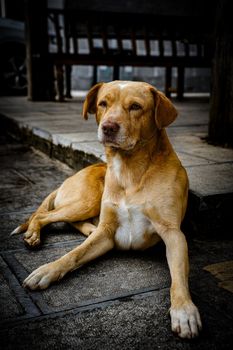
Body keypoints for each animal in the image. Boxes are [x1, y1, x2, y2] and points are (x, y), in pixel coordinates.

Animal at [13, 80, 202, 338]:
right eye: (103, 103)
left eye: (135, 106)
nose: (108, 127)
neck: (131, 170)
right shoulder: (108, 230)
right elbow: (73, 254)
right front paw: (47, 270)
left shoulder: (173, 233)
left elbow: (179, 279)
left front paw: (184, 311)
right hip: (88, 200)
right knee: (44, 214)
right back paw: (34, 234)